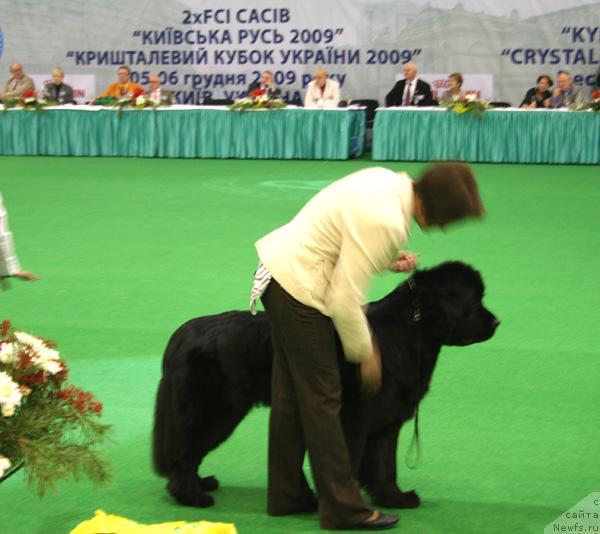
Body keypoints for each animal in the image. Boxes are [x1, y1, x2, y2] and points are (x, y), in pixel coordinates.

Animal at [152, 264, 500, 510]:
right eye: (474, 301)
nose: (496, 322)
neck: (409, 334)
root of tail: (182, 334)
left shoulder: (386, 424)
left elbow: (384, 466)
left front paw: (395, 499)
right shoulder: (354, 420)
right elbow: (351, 461)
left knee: (189, 452)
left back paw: (201, 484)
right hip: (217, 411)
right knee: (185, 452)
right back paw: (192, 497)